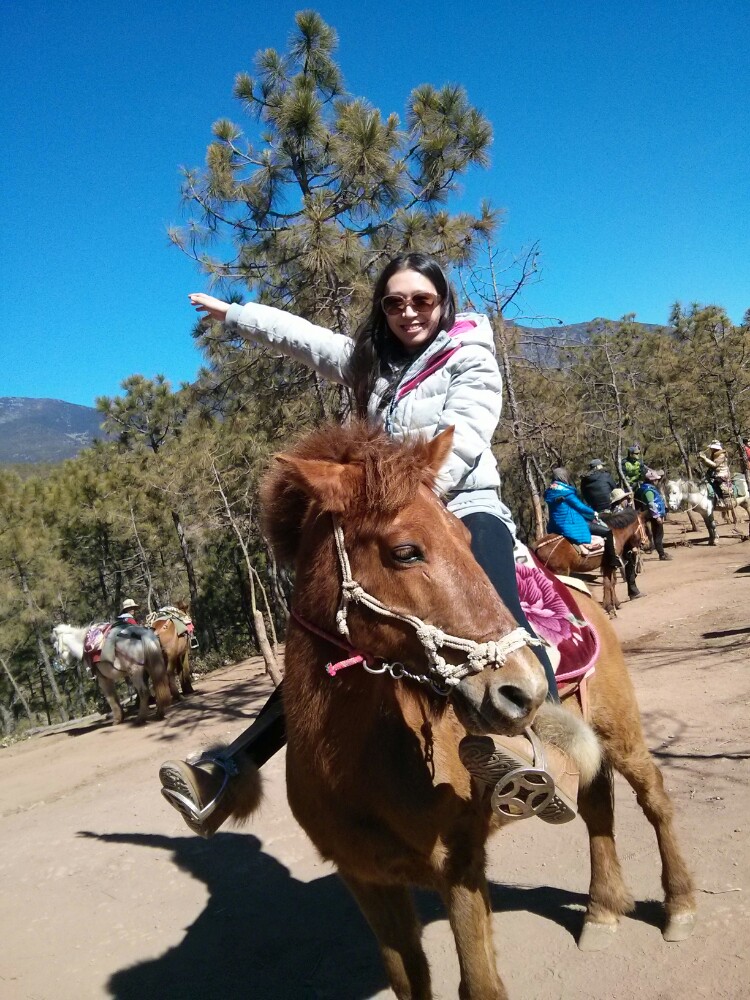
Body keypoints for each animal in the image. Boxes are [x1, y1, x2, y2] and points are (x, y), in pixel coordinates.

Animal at [236, 426, 700, 1000]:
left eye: (464, 536)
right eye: (405, 551)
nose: (522, 690)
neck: (353, 766)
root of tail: (580, 594)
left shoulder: (458, 865)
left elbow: (479, 984)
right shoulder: (365, 879)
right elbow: (409, 980)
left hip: (620, 730)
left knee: (652, 796)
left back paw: (679, 906)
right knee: (597, 805)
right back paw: (601, 912)